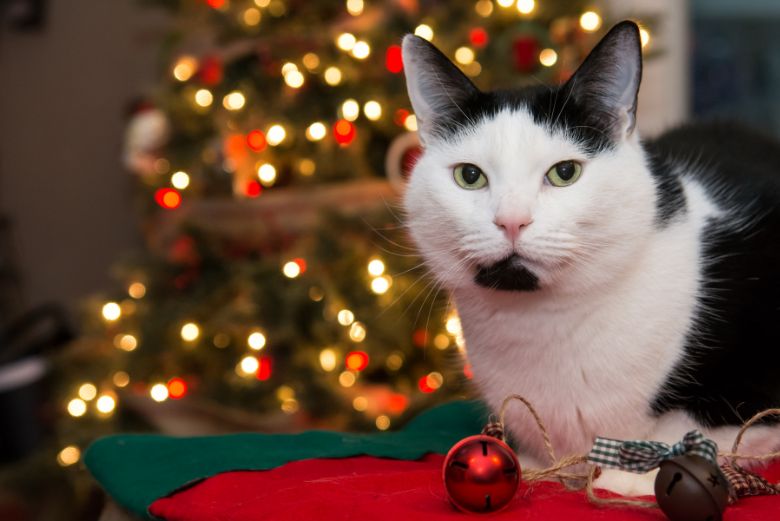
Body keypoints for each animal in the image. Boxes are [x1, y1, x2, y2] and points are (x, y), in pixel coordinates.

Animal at [402, 19, 780, 492]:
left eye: (565, 172)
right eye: (469, 176)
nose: (511, 221)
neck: (541, 323)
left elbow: (694, 427)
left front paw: (631, 475)